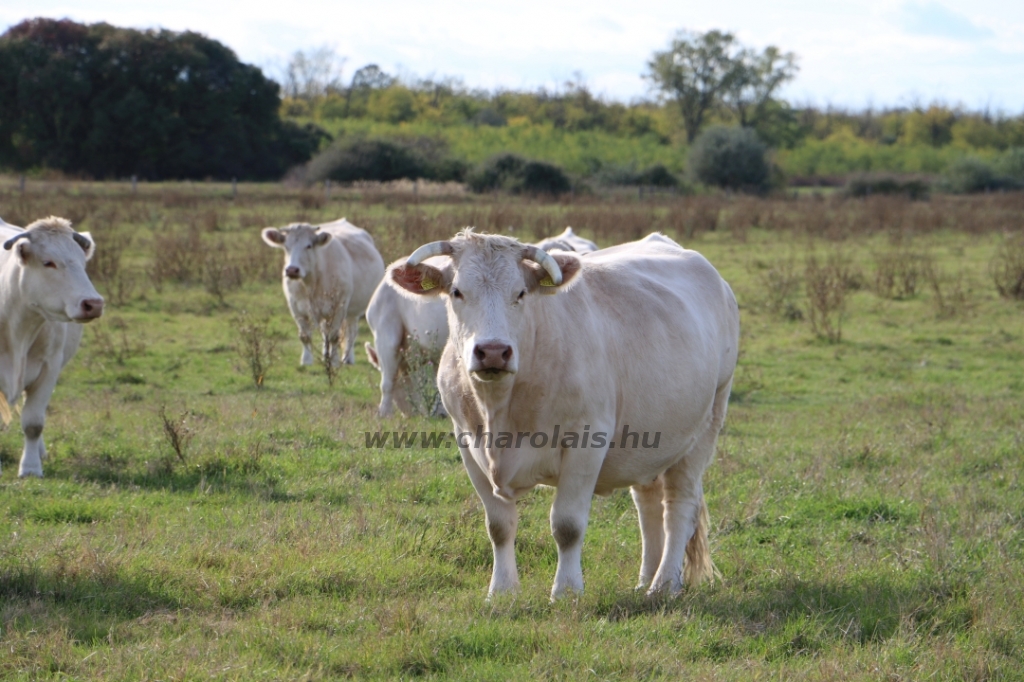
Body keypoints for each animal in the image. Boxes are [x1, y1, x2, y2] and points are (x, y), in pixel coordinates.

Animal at [0, 215, 103, 475]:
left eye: (83, 263)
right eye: (49, 263)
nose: (94, 304)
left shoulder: (49, 367)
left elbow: (34, 422)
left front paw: (30, 467)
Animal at [262, 218, 385, 366]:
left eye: (308, 246)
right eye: (286, 246)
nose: (292, 270)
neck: (311, 283)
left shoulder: (339, 307)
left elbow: (334, 337)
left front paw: (334, 361)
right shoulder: (296, 307)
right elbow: (305, 336)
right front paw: (306, 361)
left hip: (353, 310)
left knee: (350, 332)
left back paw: (347, 358)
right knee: (325, 331)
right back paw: (325, 355)